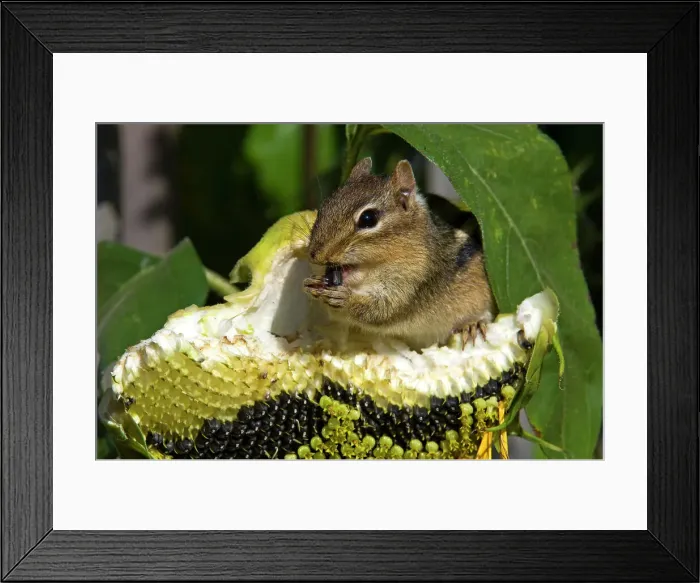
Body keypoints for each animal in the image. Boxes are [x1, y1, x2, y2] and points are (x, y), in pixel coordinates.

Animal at [303, 157, 497, 350]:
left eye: (368, 218)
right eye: (324, 206)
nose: (313, 254)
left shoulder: (414, 283)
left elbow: (381, 311)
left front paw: (345, 298)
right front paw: (311, 283)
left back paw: (472, 325)